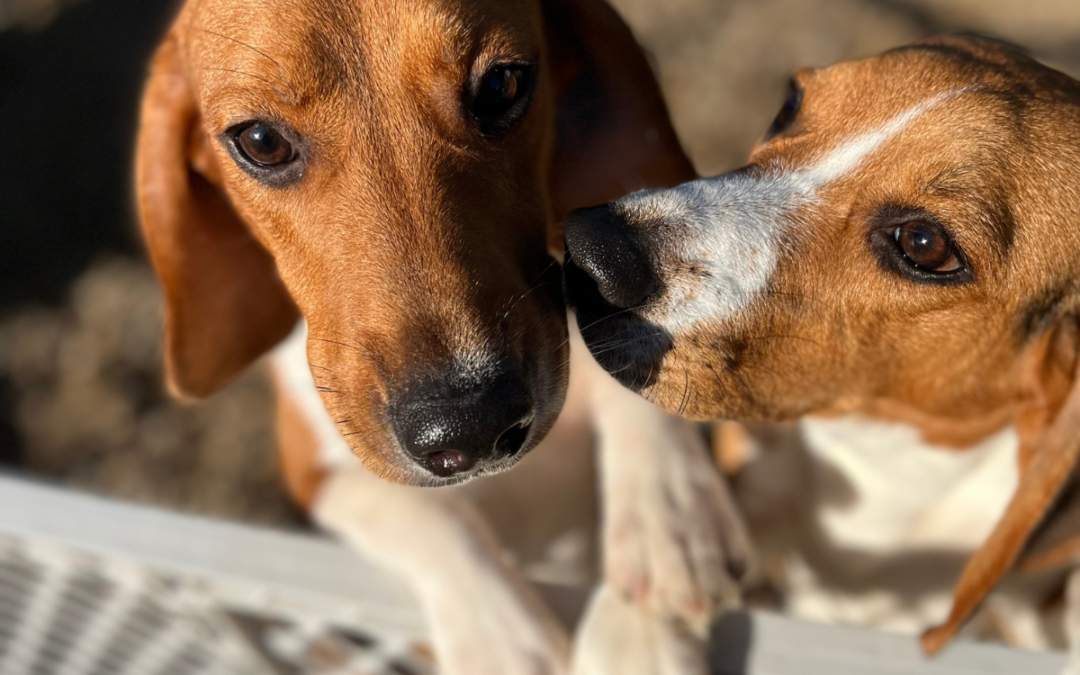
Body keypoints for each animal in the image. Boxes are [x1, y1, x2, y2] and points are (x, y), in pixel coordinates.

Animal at [135, 1, 756, 673]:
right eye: (260, 142)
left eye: (502, 84)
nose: (470, 425)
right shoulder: (315, 472)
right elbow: (419, 513)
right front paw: (501, 643)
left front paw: (664, 540)